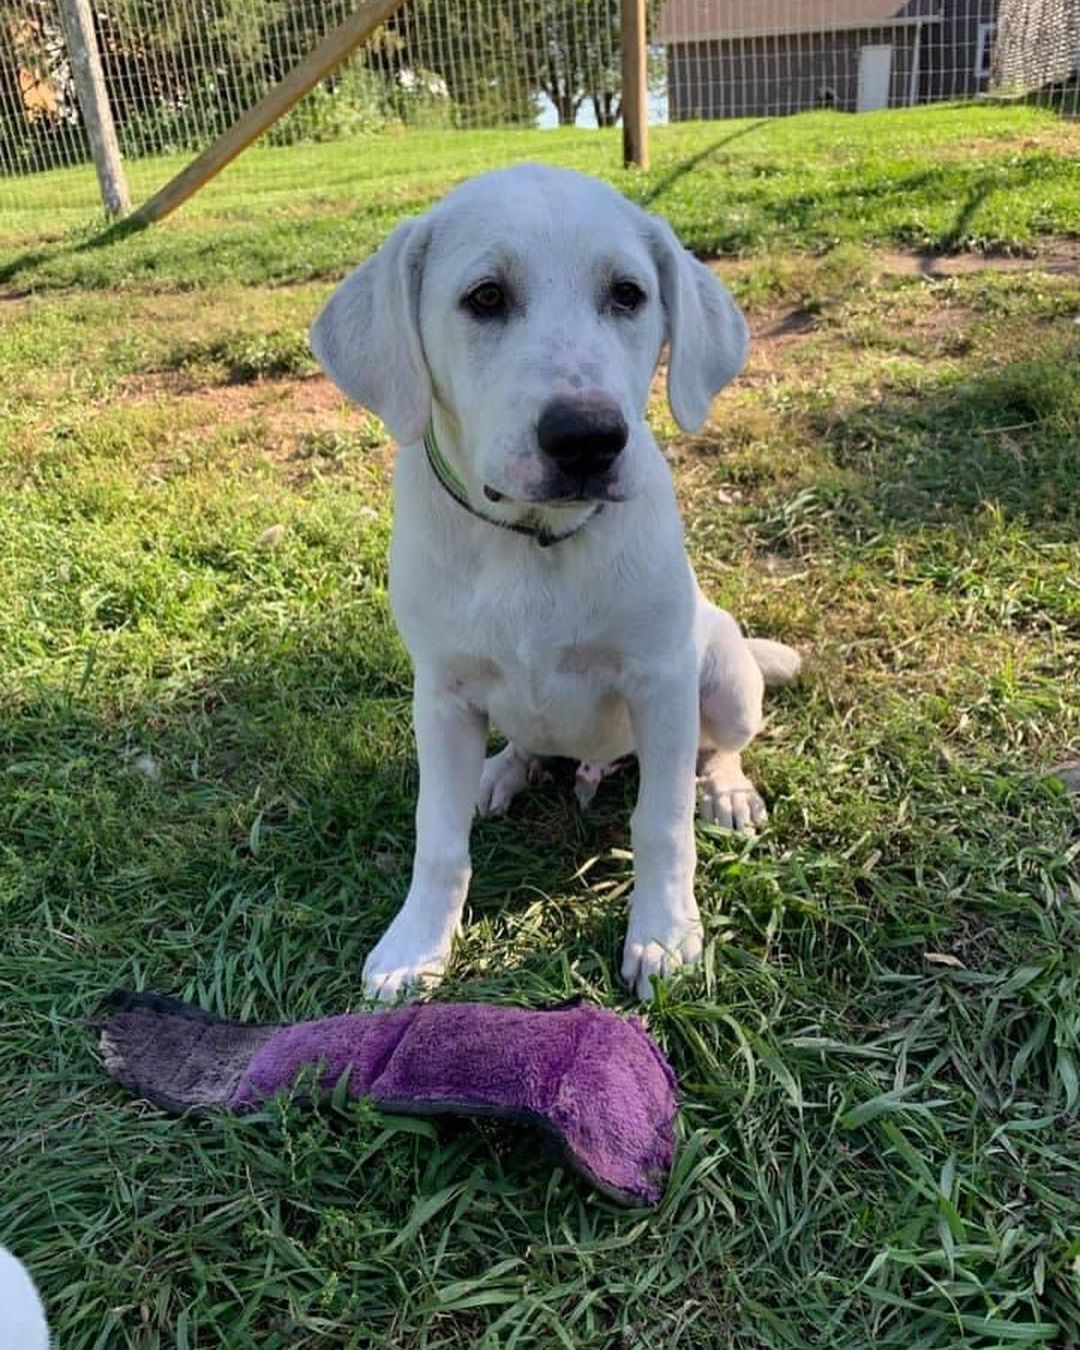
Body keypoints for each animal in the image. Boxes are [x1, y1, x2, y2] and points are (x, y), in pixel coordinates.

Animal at [307, 163, 799, 999]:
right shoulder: (439, 694)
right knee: (524, 743)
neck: (533, 541)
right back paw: (501, 770)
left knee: (716, 746)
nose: (588, 439)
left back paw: (726, 789)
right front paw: (416, 944)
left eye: (629, 295)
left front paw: (664, 933)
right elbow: (437, 837)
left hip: (726, 677)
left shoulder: (659, 681)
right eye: (485, 298)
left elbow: (661, 822)